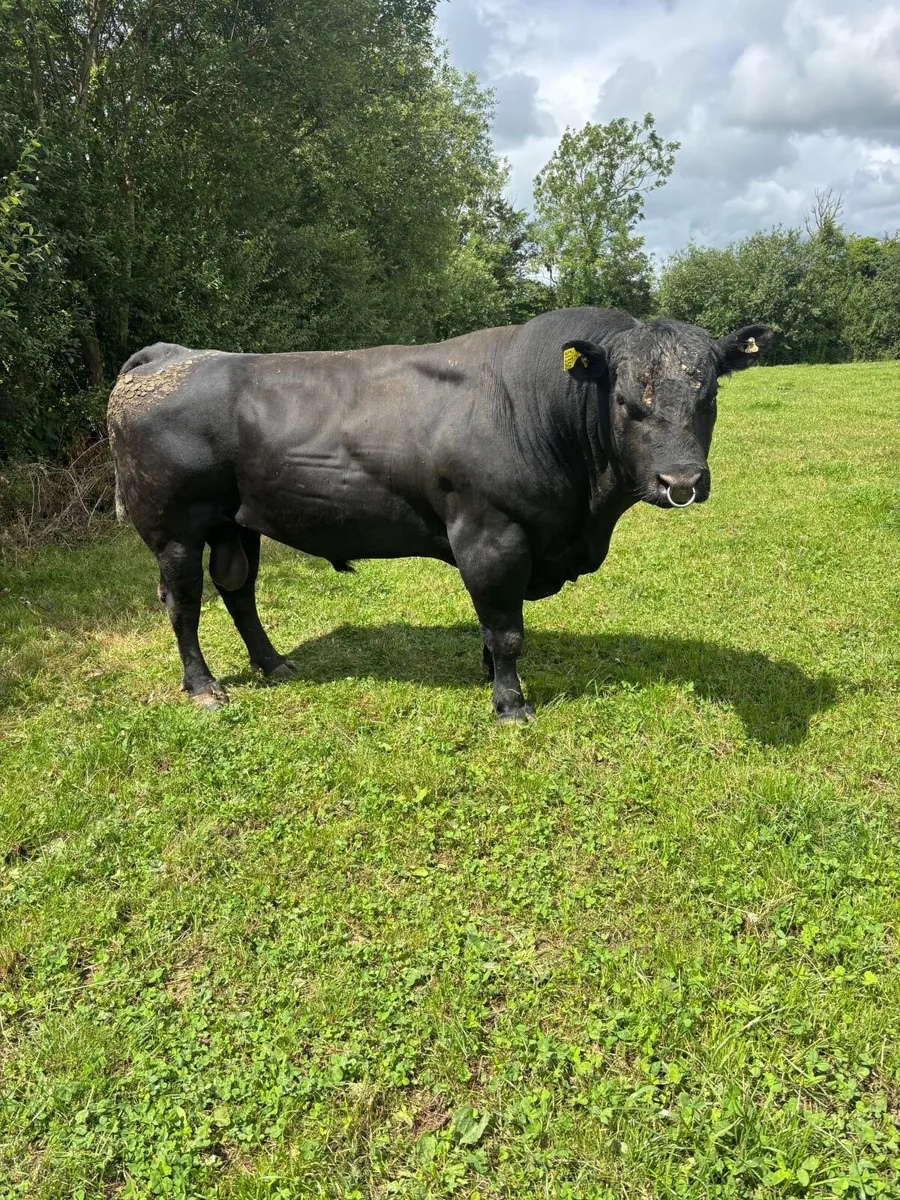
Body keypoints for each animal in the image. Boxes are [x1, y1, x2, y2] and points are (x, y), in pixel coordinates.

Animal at [108, 307, 773, 721]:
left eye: (710, 393)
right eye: (627, 400)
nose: (680, 482)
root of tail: (170, 355)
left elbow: (492, 627)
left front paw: (490, 677)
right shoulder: (491, 535)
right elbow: (506, 629)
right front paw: (510, 703)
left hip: (237, 523)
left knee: (238, 590)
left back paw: (274, 663)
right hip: (174, 528)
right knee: (185, 604)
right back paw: (203, 687)